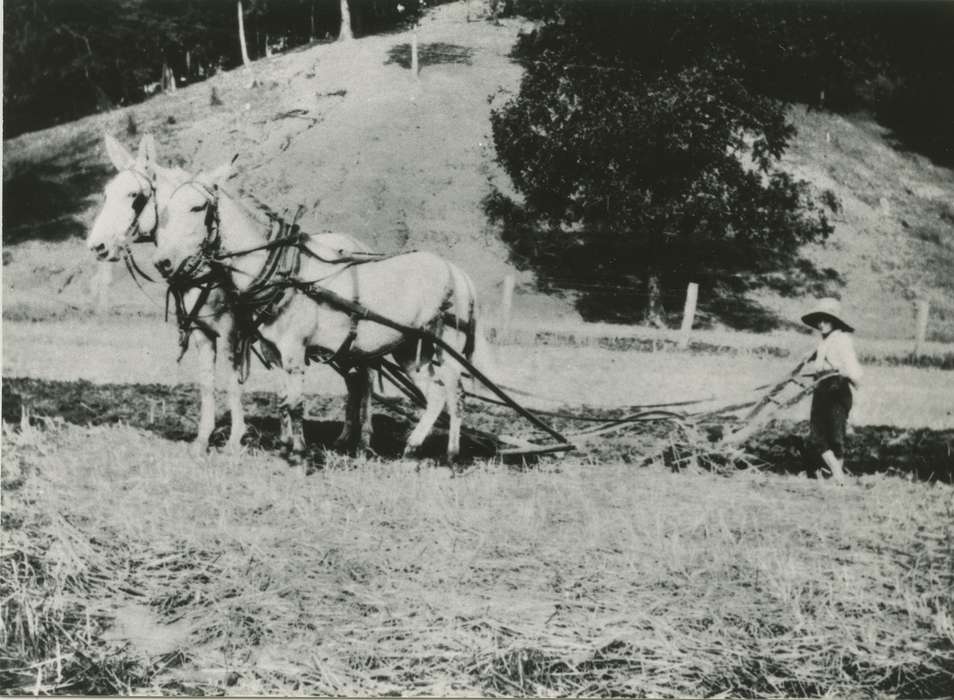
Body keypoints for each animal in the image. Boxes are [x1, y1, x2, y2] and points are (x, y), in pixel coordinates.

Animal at [85, 137, 374, 454]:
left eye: (135, 195)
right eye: (106, 193)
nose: (97, 246)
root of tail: (358, 244)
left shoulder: (230, 333)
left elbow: (233, 382)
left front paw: (236, 439)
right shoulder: (202, 332)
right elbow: (207, 383)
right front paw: (203, 438)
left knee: (367, 379)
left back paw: (364, 438)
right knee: (355, 381)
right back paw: (345, 436)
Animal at [152, 161, 488, 462]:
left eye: (197, 208)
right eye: (164, 210)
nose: (163, 263)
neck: (282, 271)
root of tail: (457, 272)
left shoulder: (284, 346)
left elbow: (294, 402)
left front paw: (298, 454)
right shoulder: (271, 349)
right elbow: (283, 399)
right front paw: (284, 447)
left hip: (445, 347)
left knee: (455, 393)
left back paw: (450, 455)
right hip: (408, 350)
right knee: (433, 393)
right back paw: (410, 448)